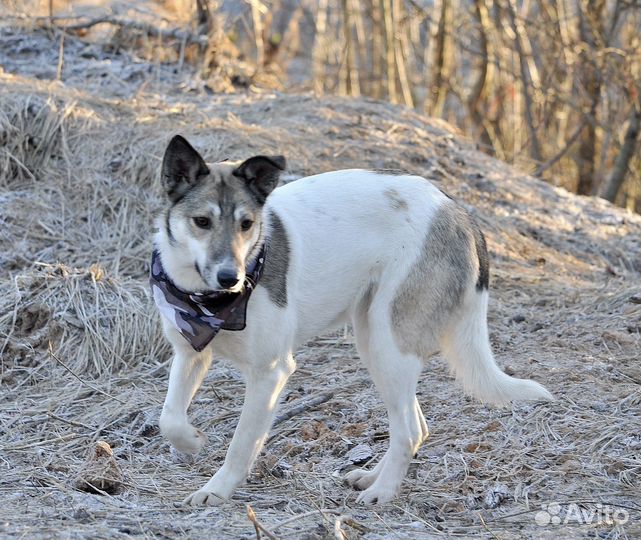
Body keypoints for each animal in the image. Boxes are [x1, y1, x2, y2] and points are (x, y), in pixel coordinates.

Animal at [150, 135, 552, 506]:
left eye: (246, 224)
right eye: (202, 222)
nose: (229, 278)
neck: (209, 303)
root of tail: (458, 211)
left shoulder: (270, 372)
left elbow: (241, 442)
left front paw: (217, 489)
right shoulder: (190, 352)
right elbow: (169, 418)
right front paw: (191, 441)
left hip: (392, 346)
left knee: (409, 430)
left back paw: (383, 493)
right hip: (373, 342)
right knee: (415, 426)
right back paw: (372, 476)